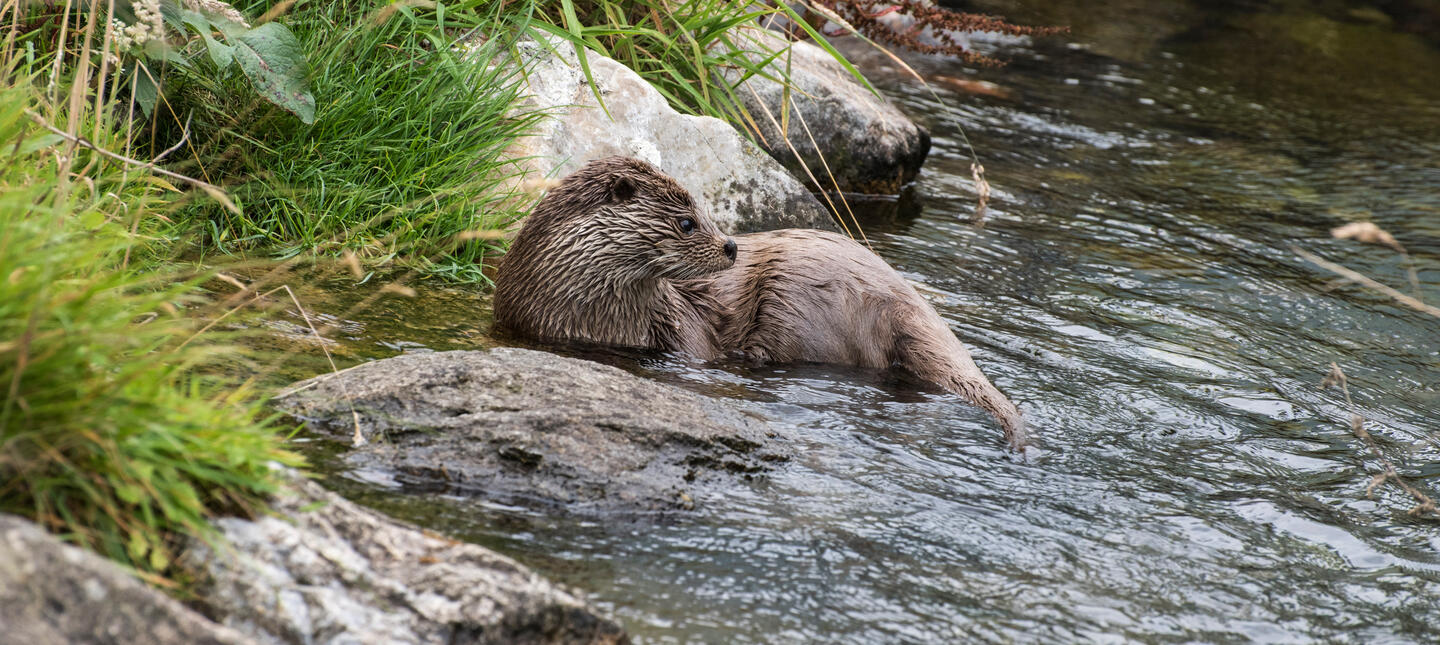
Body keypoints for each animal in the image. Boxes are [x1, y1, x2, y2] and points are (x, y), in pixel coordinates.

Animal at [494, 156, 1027, 450]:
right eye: (687, 222)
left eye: (705, 211)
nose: (731, 245)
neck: (583, 314)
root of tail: (905, 301)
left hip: (799, 295)